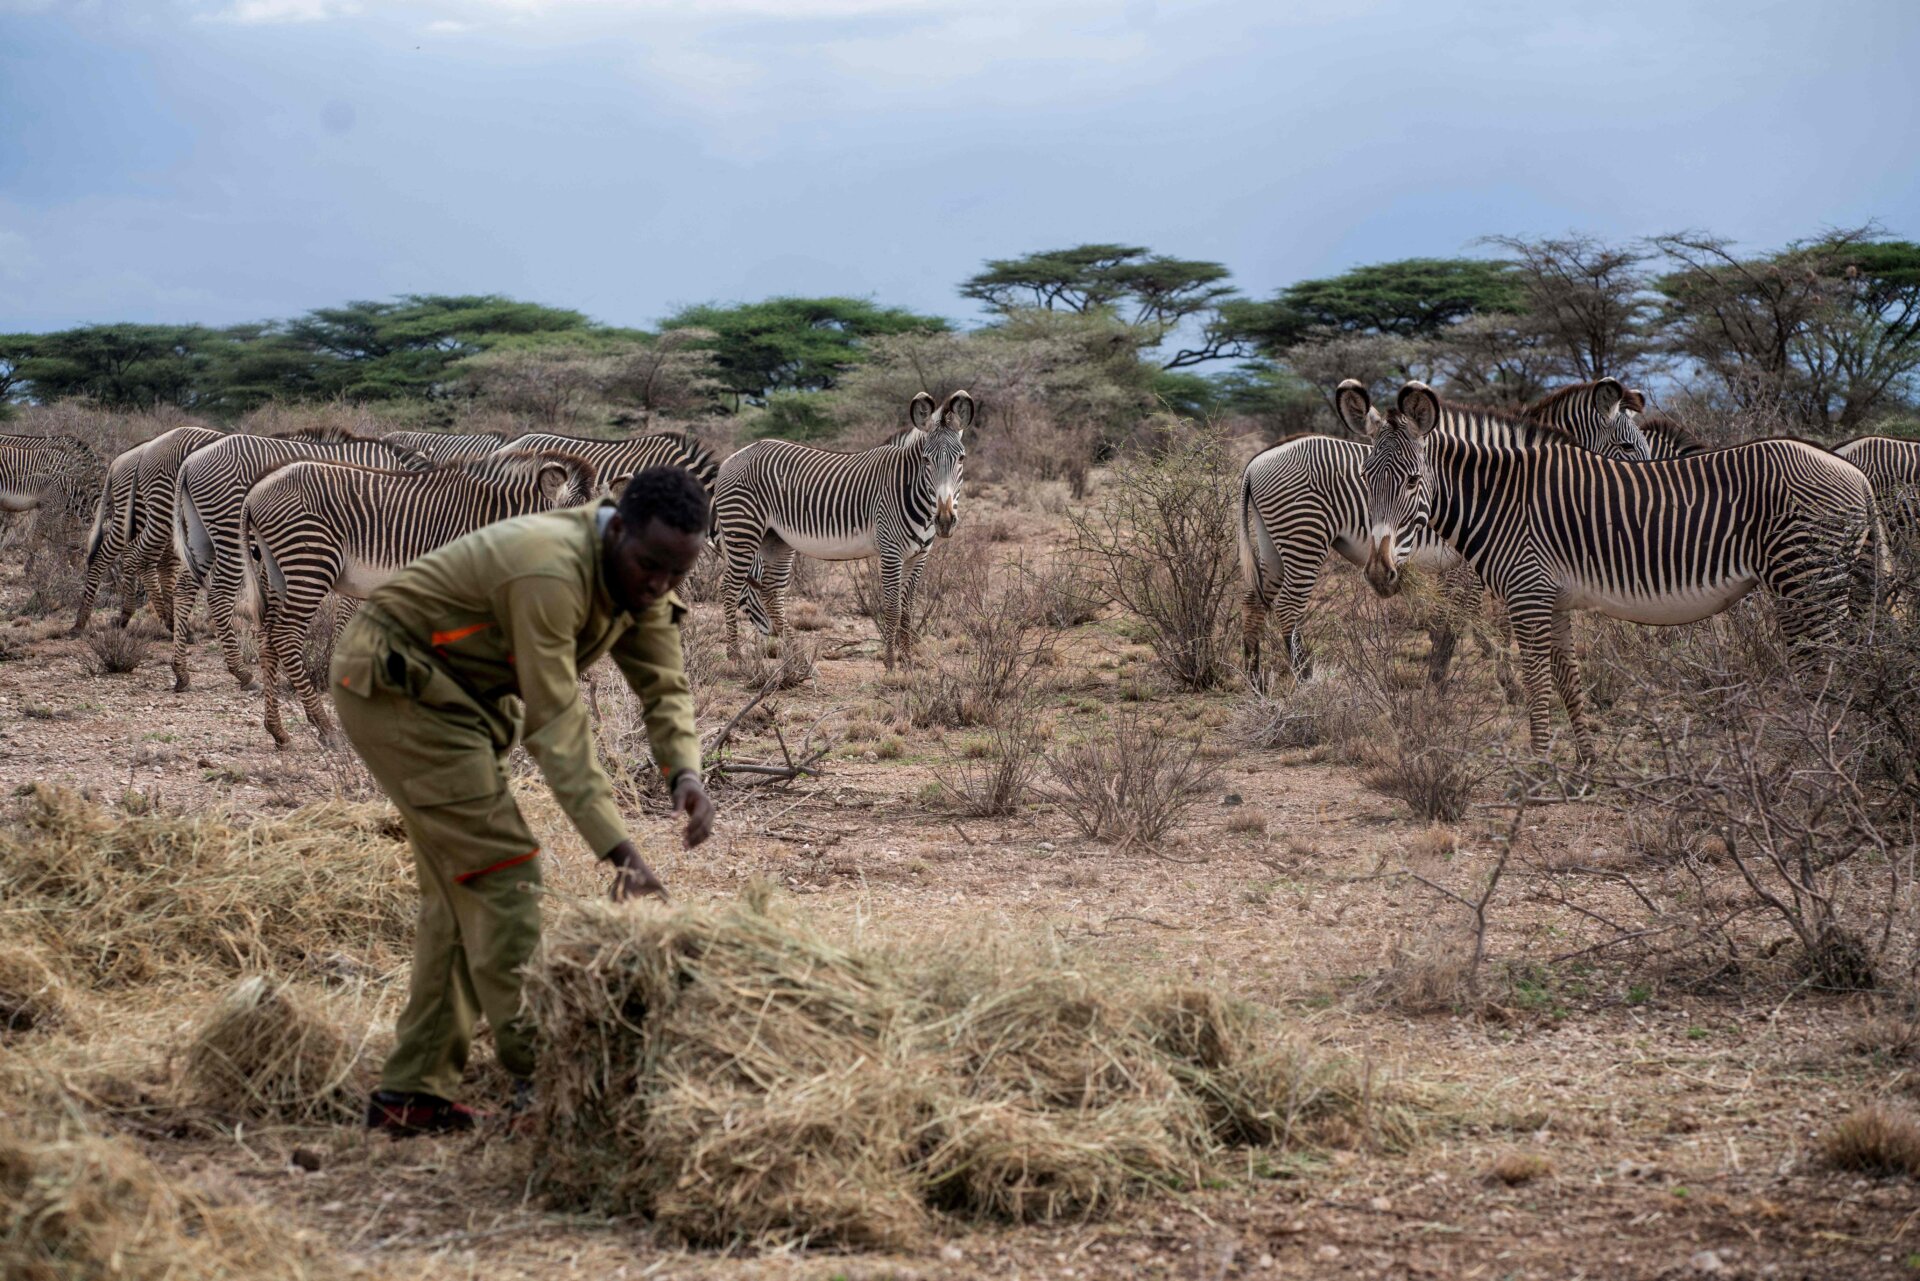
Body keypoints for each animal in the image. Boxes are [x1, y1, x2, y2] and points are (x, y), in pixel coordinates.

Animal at [169, 432, 429, 694]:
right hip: (230, 533)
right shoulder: (364, 554)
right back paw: (243, 673)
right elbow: (350, 611)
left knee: (184, 588)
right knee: (219, 596)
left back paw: (181, 673)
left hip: (201, 535)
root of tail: (191, 460)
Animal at [239, 450, 604, 746]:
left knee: (267, 636)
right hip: (310, 562)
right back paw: (325, 728)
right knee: (285, 635)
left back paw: (278, 731)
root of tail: (256, 490)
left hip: (277, 571)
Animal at [714, 390, 971, 667]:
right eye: (926, 460)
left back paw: (798, 658)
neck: (909, 488)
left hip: (776, 540)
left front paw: (909, 661)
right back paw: (736, 658)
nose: (944, 520)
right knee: (730, 588)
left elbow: (909, 608)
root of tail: (734, 456)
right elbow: (893, 607)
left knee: (771, 594)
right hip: (743, 531)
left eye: (961, 458)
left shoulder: (919, 555)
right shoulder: (891, 551)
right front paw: (891, 664)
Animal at [1240, 378, 1652, 682]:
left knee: (1254, 600)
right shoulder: (1471, 563)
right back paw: (1305, 681)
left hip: (1274, 544)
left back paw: (1254, 681)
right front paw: (1488, 679)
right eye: (1627, 445)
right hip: (1304, 538)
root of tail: (1256, 461)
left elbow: (1460, 619)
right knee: (1288, 607)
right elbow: (1466, 618)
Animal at [1355, 380, 1882, 760]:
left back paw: (1826, 757)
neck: (1502, 499)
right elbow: (1566, 678)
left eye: (1412, 481)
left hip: (1810, 578)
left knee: (1834, 661)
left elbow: (1536, 681)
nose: (1379, 573)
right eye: (1364, 478)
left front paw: (1538, 770)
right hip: (1798, 585)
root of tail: (1854, 470)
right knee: (1821, 662)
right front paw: (1588, 763)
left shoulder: (1527, 595)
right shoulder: (1552, 598)